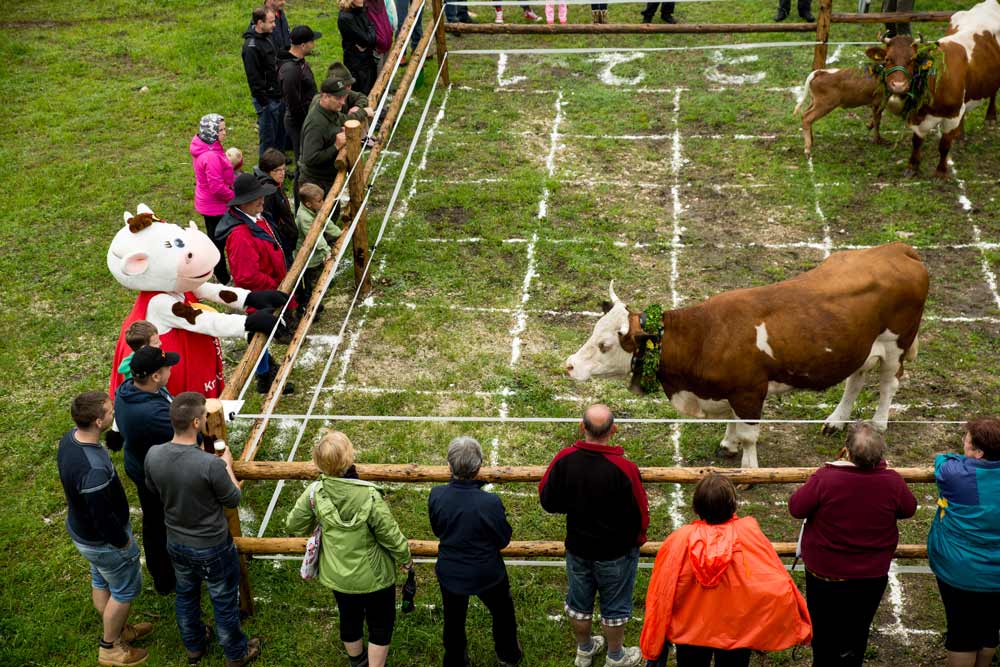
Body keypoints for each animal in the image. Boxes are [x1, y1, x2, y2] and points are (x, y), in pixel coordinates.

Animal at [564, 244, 928, 470]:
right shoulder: (731, 390)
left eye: (605, 345)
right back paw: (837, 420)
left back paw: (878, 423)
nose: (568, 365)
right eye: (593, 331)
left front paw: (749, 470)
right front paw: (728, 444)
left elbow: (749, 433)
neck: (705, 335)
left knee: (888, 384)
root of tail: (896, 248)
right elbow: (733, 422)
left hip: (896, 344)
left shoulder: (750, 391)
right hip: (861, 345)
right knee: (856, 379)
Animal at [868, 0, 1000, 177]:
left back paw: (990, 117)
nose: (898, 85)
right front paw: (912, 167)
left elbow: (944, 145)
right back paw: (960, 134)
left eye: (913, 60)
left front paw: (941, 172)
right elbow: (916, 141)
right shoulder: (918, 114)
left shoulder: (951, 115)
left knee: (993, 93)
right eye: (888, 59)